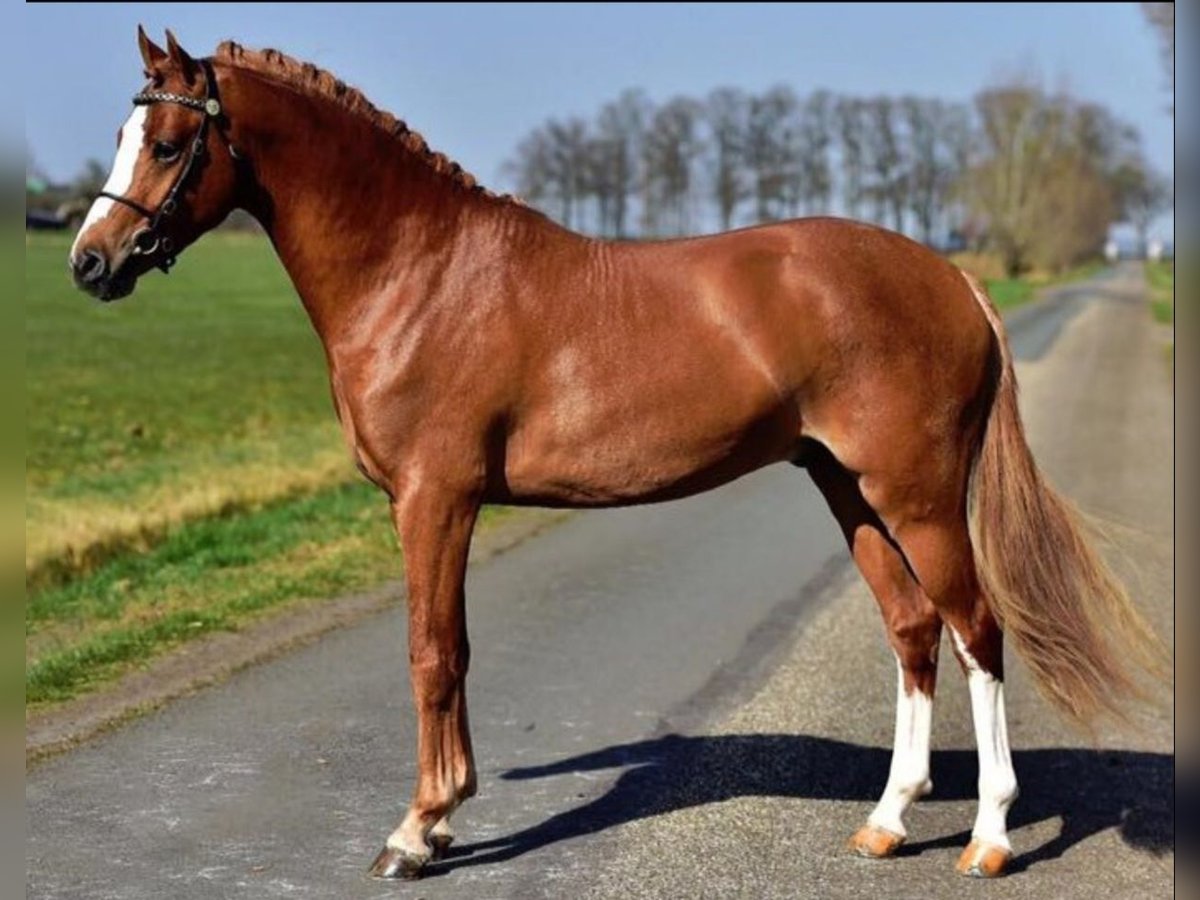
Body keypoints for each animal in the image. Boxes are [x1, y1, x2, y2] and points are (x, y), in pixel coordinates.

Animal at [70, 28, 1166, 883]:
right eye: (121, 137)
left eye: (166, 143)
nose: (89, 263)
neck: (422, 273)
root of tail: (953, 279)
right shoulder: (438, 502)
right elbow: (452, 650)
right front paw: (445, 814)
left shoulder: (435, 498)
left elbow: (433, 652)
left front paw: (420, 829)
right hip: (848, 489)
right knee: (914, 631)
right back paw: (889, 822)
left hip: (921, 495)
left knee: (978, 630)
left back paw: (989, 837)